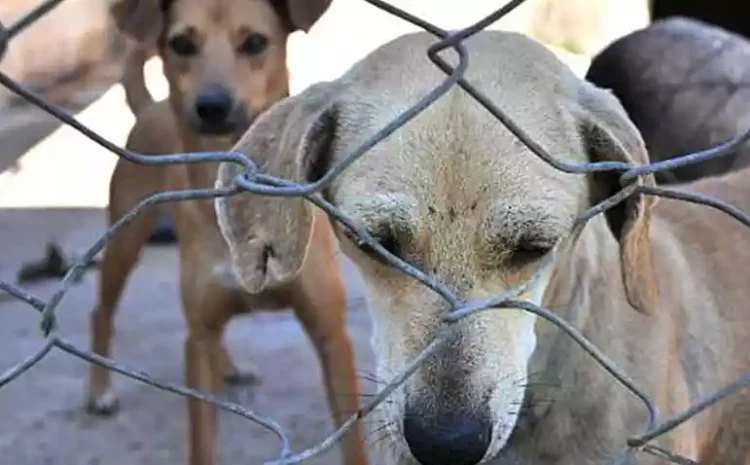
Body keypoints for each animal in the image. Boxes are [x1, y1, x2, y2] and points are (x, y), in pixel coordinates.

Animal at [86, 0, 368, 464]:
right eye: (182, 43)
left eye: (254, 42)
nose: (212, 105)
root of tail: (150, 107)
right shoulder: (197, 341)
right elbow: (202, 438)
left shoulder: (332, 334)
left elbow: (353, 440)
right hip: (125, 239)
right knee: (102, 312)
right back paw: (99, 391)